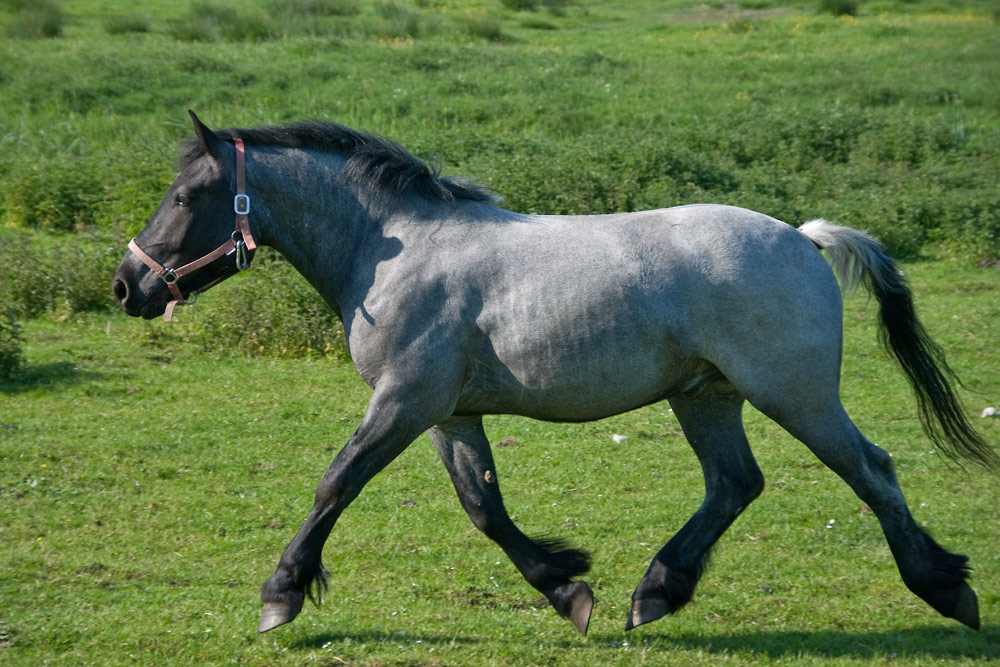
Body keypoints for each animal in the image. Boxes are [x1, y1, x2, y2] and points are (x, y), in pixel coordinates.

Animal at [111, 111, 992, 636]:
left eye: (186, 195)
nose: (128, 285)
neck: (393, 249)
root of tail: (804, 238)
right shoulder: (448, 412)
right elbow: (484, 506)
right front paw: (568, 588)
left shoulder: (403, 400)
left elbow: (336, 482)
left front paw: (281, 592)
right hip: (706, 397)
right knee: (735, 483)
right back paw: (656, 590)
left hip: (795, 394)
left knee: (871, 470)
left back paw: (946, 587)